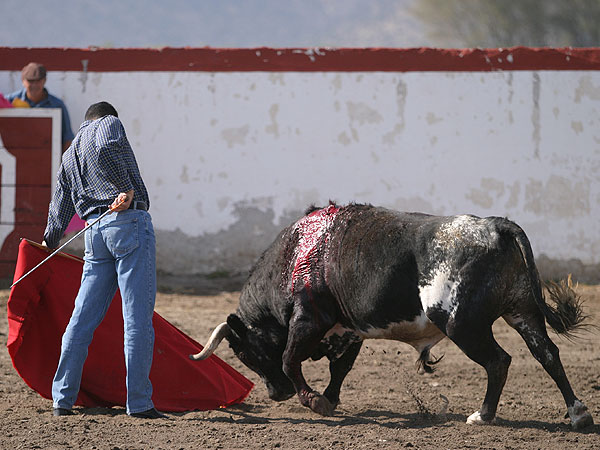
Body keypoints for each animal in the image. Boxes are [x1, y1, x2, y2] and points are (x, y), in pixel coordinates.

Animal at [190, 204, 592, 428]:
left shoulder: (309, 320)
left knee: (499, 361)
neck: (296, 255)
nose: (277, 395)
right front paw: (329, 399)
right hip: (522, 311)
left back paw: (483, 416)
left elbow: (290, 358)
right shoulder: (349, 329)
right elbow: (340, 368)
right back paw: (578, 413)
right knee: (547, 354)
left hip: (462, 324)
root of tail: (495, 225)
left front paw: (314, 400)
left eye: (244, 353)